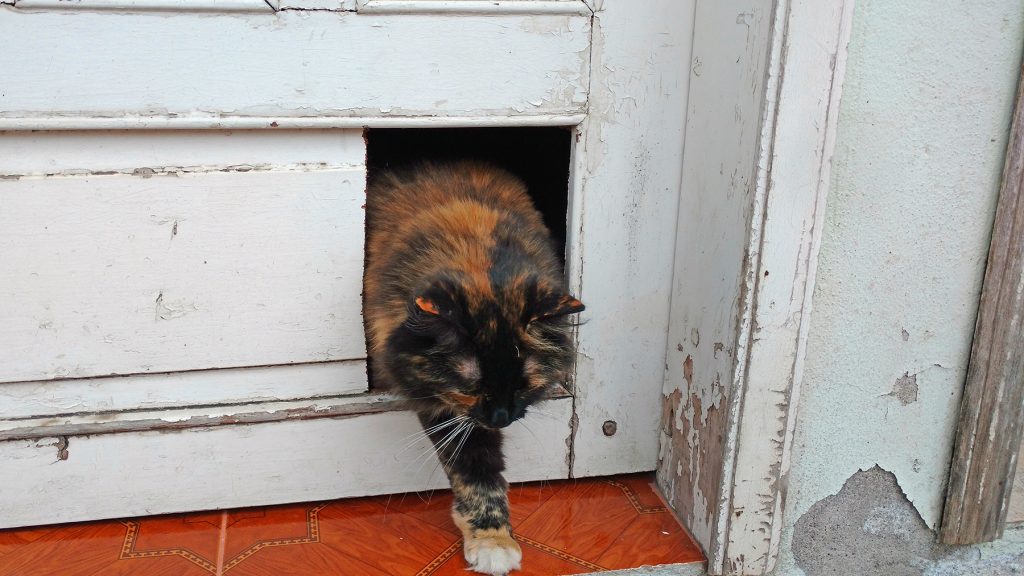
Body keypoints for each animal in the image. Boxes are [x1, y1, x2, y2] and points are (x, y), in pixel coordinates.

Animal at [364, 158, 585, 569]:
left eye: (523, 384)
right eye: (472, 384)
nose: (501, 417)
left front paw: (495, 539)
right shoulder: (448, 409)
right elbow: (475, 469)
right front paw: (492, 542)